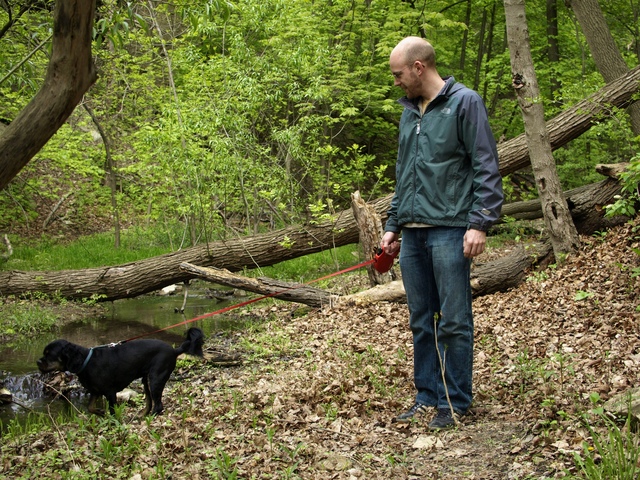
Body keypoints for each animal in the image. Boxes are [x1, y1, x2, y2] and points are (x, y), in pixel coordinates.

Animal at [36, 326, 205, 416]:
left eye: (49, 355)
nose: (38, 362)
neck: (86, 361)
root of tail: (174, 350)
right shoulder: (95, 391)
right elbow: (90, 407)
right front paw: (100, 412)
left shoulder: (110, 393)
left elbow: (111, 411)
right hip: (146, 380)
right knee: (150, 402)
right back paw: (142, 415)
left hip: (156, 378)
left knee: (158, 405)